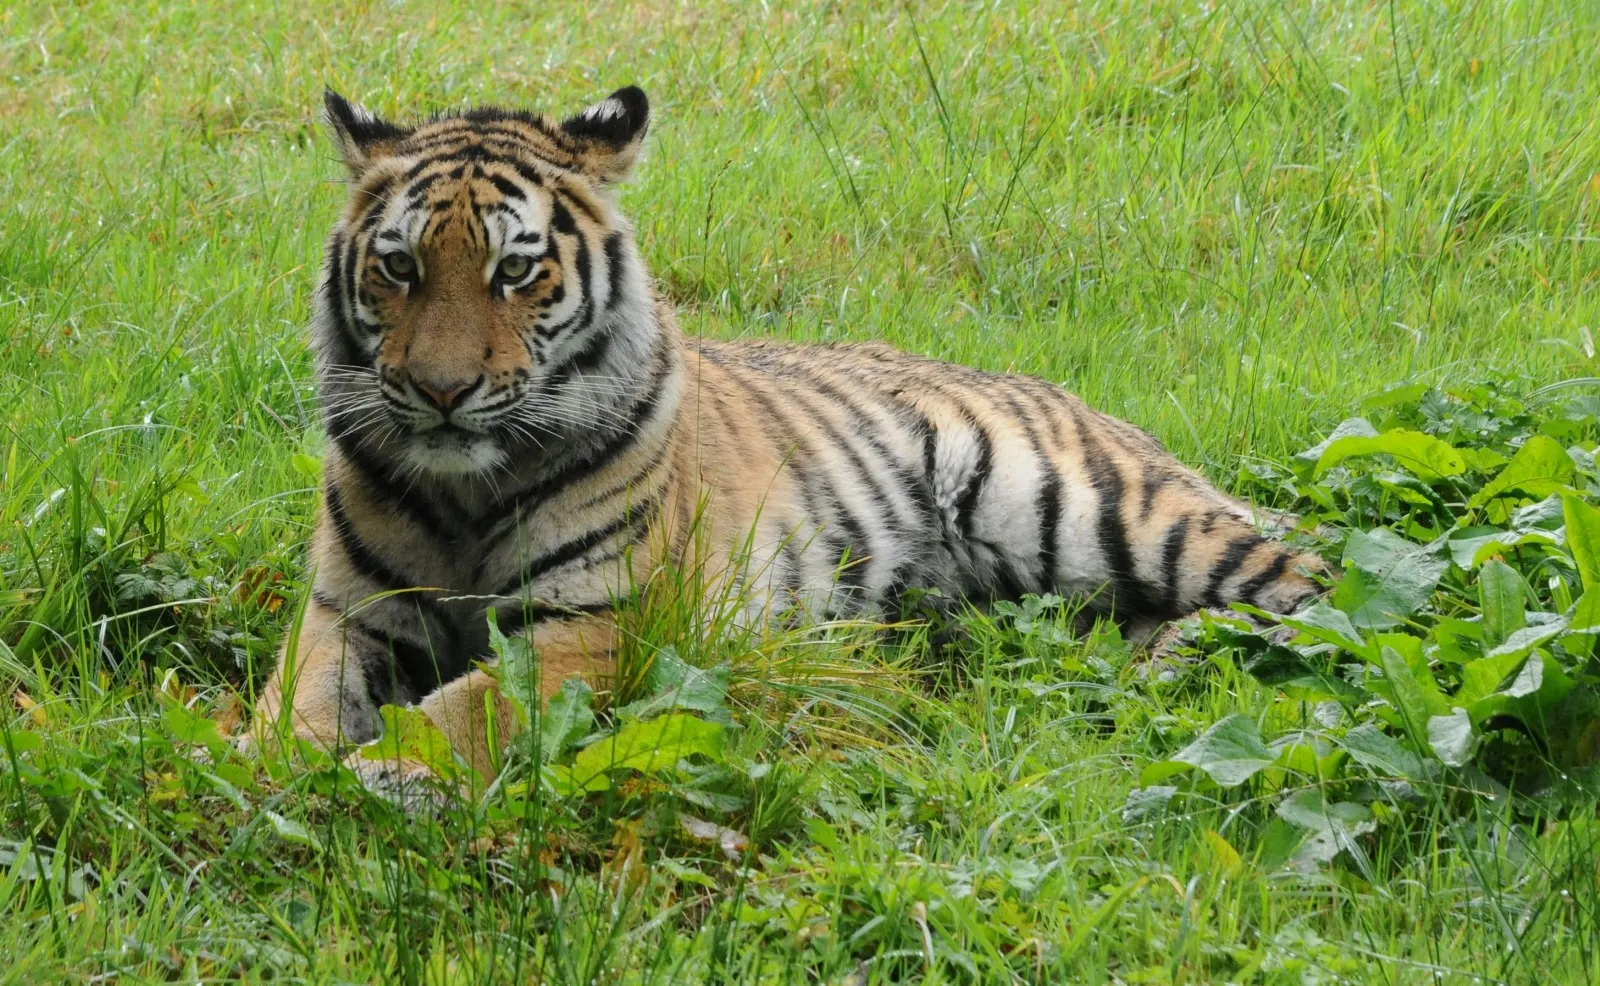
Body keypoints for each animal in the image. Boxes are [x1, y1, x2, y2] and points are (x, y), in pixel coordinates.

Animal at [251, 85, 1324, 785]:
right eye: (398, 265)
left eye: (515, 271)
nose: (440, 391)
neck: (463, 489)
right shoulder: (349, 611)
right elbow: (296, 699)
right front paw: (259, 766)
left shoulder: (598, 620)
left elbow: (469, 706)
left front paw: (381, 775)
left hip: (1096, 510)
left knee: (1316, 584)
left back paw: (1179, 667)